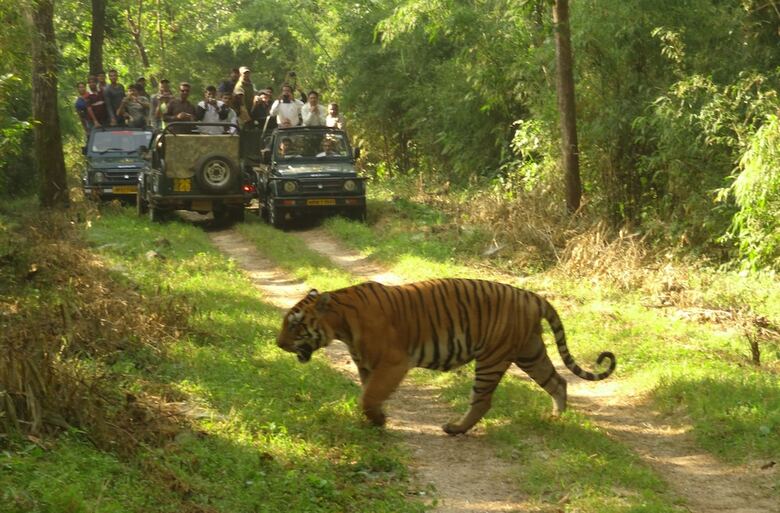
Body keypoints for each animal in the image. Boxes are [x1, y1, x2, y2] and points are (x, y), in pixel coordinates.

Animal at [276, 278, 616, 435]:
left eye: (295, 325)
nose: (278, 344)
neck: (341, 324)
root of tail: (531, 296)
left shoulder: (394, 362)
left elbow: (369, 396)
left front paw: (378, 419)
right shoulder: (366, 365)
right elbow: (368, 393)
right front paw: (376, 419)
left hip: (492, 358)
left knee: (482, 400)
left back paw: (455, 428)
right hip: (530, 352)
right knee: (558, 382)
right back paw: (555, 417)